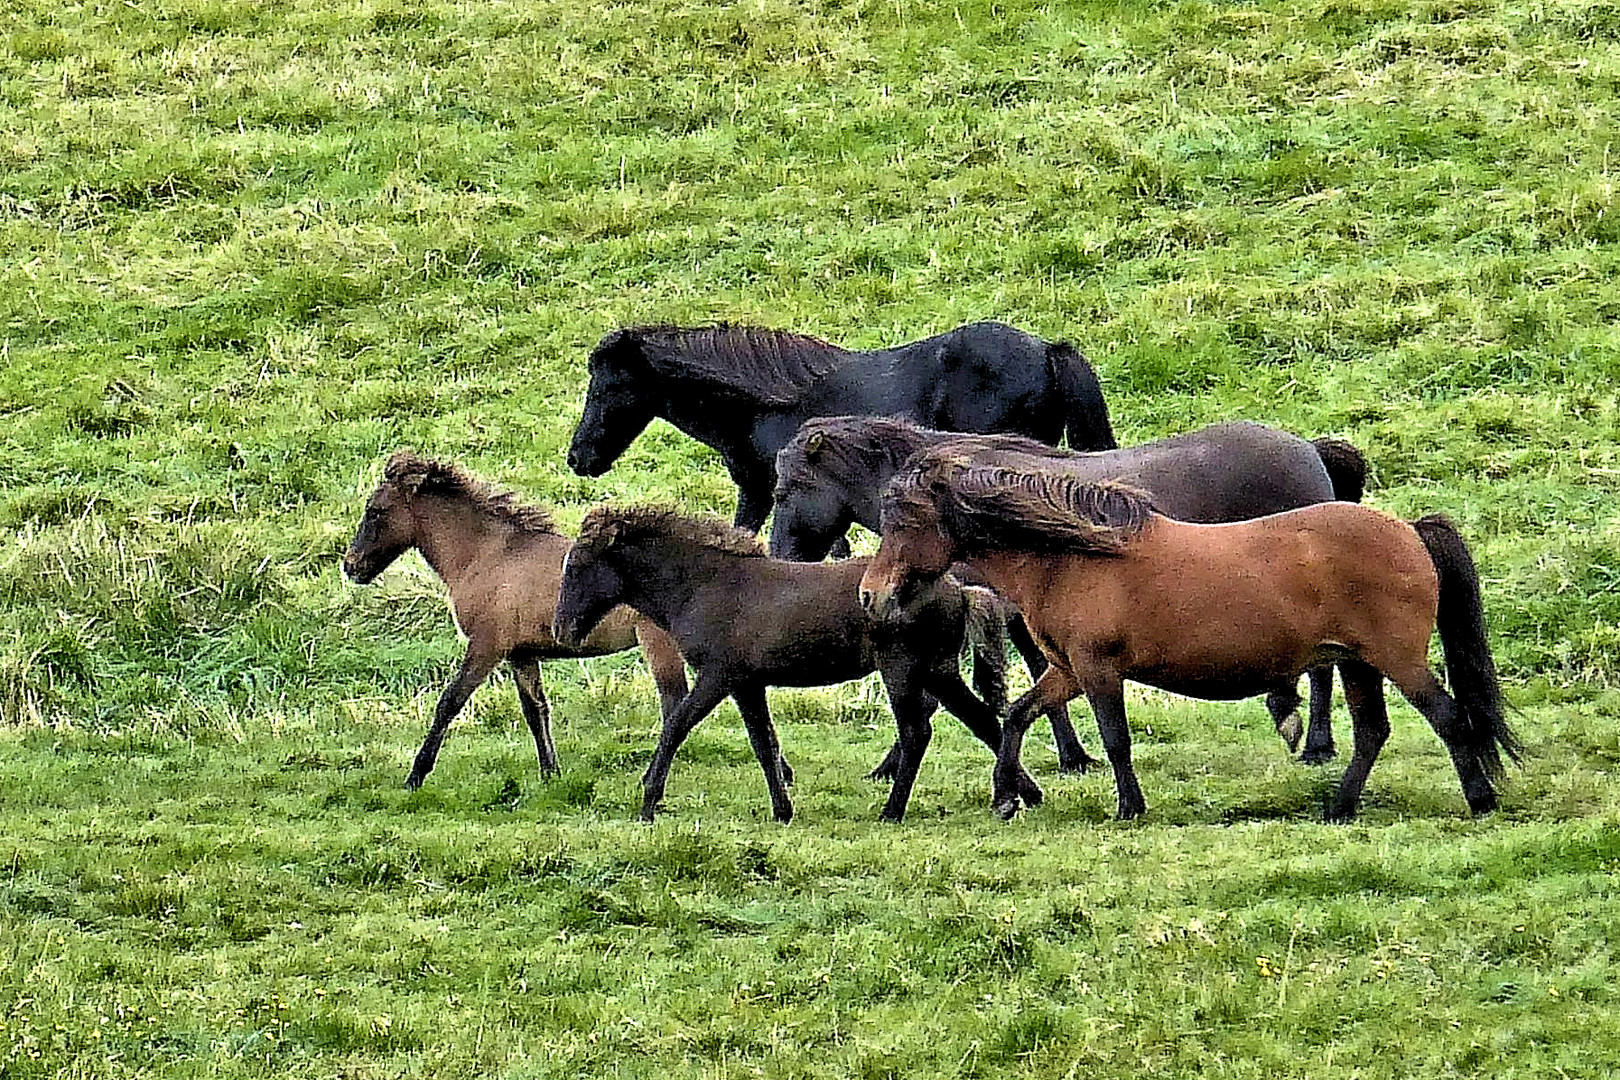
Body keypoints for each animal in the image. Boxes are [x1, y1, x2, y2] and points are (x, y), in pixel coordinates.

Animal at [341, 453, 690, 790]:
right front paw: (550, 775)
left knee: (674, 705)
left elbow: (449, 702)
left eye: (375, 511)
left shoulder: (487, 646)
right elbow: (535, 710)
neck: (487, 555)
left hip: (658, 644)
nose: (350, 566)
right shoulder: (521, 654)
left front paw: (415, 777)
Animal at [550, 511, 1036, 822]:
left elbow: (676, 726)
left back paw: (892, 812)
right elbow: (763, 742)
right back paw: (1021, 797)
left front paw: (648, 803)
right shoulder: (747, 683)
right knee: (982, 720)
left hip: (903, 669)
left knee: (918, 732)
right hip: (939, 669)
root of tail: (958, 590)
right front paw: (782, 811)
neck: (703, 585)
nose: (561, 628)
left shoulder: (719, 675)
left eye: (579, 566)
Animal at [767, 417, 1367, 767]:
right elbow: (1036, 677)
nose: (779, 558)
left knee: (1324, 667)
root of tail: (1310, 451)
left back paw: (1317, 744)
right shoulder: (1022, 616)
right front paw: (1069, 755)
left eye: (785, 489)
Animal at [861, 453, 1516, 822]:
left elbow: (1116, 740)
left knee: (1448, 717)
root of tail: (1409, 530)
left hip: (1394, 658)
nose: (869, 595)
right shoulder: (1067, 671)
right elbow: (1018, 716)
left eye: (907, 523)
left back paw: (1479, 801)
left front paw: (1129, 808)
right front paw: (1006, 797)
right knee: (1372, 732)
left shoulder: (1098, 670)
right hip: (1357, 662)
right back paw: (1338, 808)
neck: (1074, 558)